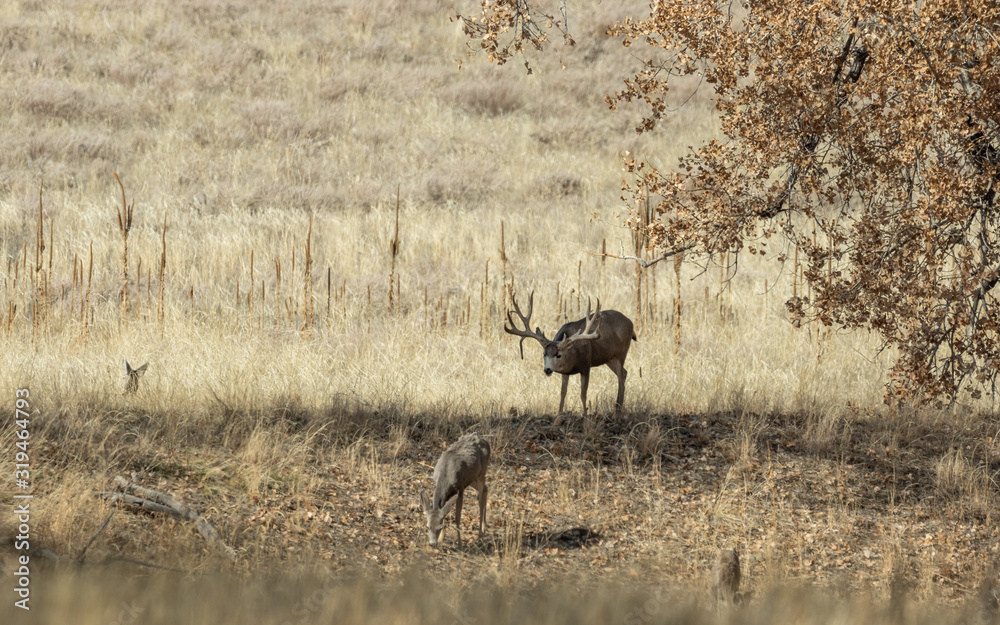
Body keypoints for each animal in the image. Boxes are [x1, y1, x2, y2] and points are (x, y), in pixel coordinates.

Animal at [504, 291, 636, 418]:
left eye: (559, 355)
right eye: (544, 354)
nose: (547, 370)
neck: (573, 356)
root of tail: (630, 322)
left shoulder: (586, 366)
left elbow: (583, 394)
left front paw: (586, 417)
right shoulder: (565, 372)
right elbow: (563, 392)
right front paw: (558, 416)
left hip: (621, 353)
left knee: (621, 376)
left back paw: (617, 411)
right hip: (609, 358)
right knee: (624, 373)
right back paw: (617, 408)